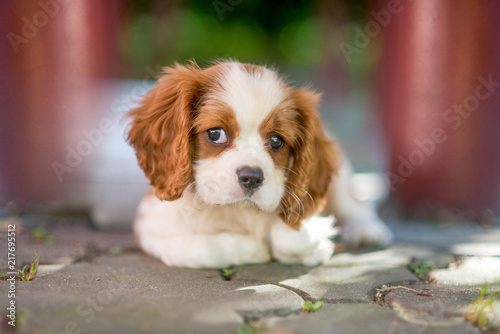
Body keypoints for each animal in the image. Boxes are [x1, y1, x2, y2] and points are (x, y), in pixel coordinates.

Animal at [127, 59, 392, 268]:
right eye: (215, 134)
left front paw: (315, 243)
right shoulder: (151, 225)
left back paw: (366, 229)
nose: (252, 177)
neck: (236, 211)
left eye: (276, 141)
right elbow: (196, 248)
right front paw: (253, 247)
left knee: (357, 206)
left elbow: (293, 236)